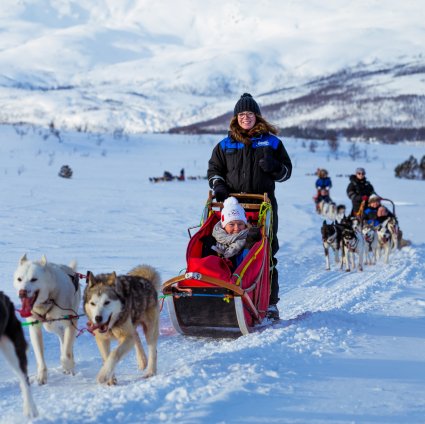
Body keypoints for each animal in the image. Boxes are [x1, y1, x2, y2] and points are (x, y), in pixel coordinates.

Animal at [13, 254, 81, 385]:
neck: (49, 298)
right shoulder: (35, 328)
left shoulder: (71, 322)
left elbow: (66, 354)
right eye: (19, 279)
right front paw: (41, 376)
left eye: (34, 279)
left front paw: (68, 365)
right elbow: (40, 357)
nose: (22, 292)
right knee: (62, 337)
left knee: (67, 344)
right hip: (50, 326)